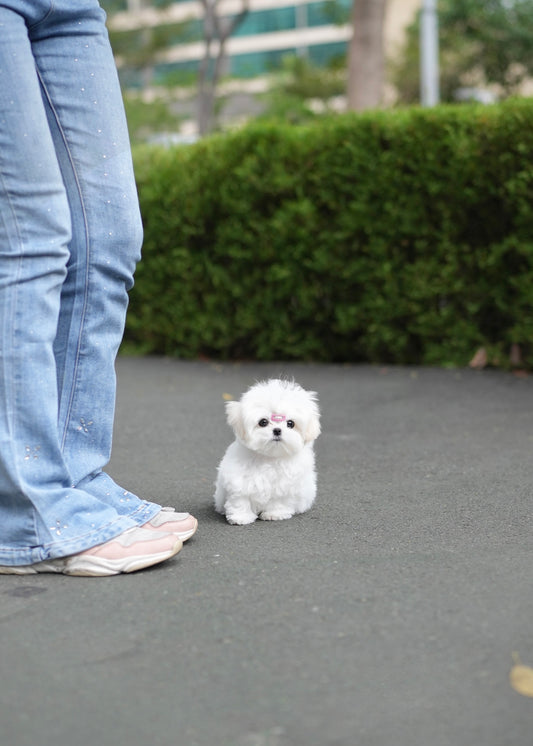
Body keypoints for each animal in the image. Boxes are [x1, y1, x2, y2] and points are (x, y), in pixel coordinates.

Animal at [213, 378, 320, 524]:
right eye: (263, 422)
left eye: (290, 424)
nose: (277, 430)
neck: (269, 457)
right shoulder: (238, 478)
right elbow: (240, 498)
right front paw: (241, 516)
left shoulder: (285, 484)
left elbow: (279, 499)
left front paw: (274, 514)